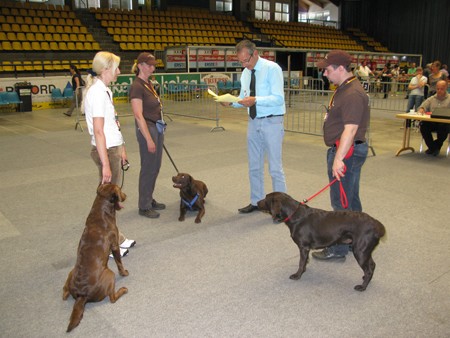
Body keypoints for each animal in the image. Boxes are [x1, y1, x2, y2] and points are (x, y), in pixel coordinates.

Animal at [62, 184, 128, 332]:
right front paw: (124, 272)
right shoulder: (114, 245)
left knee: (64, 292)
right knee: (112, 298)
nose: (126, 195)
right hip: (110, 274)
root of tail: (82, 295)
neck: (101, 210)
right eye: (120, 189)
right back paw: (123, 290)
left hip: (71, 271)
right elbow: (119, 261)